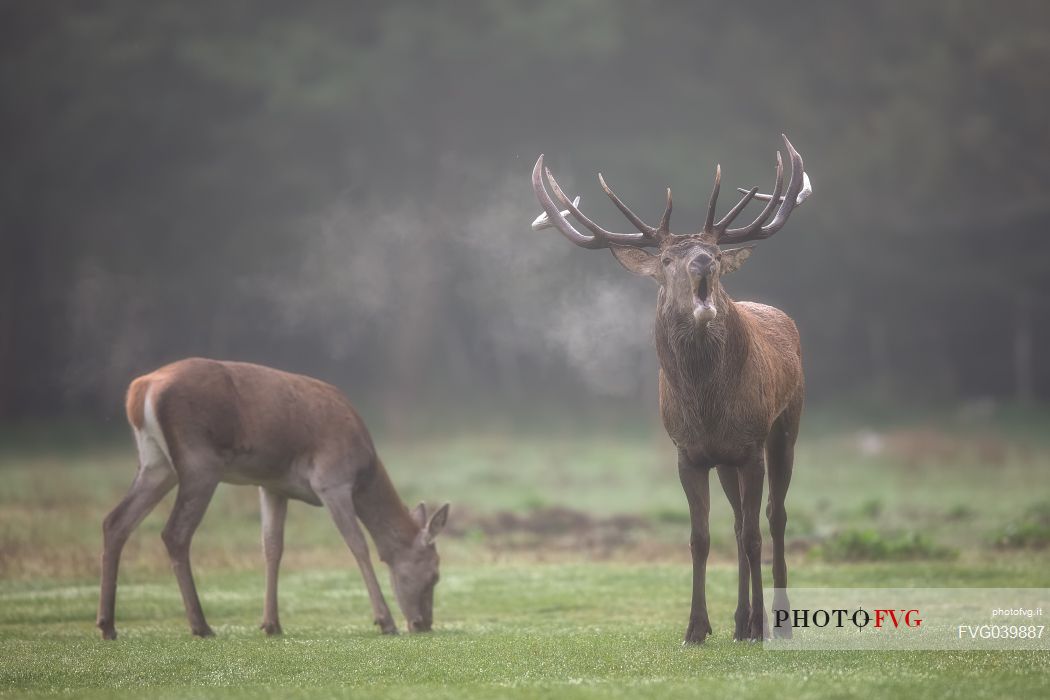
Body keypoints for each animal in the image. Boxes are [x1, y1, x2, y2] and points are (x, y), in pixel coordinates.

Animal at [93, 361, 447, 642]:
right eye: (435, 574)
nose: (423, 624)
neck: (364, 473)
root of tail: (141, 390)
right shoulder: (332, 480)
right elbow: (357, 544)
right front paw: (385, 621)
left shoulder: (273, 485)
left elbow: (272, 548)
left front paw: (271, 624)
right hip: (199, 462)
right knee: (175, 532)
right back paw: (200, 625)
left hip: (155, 463)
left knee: (115, 521)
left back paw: (108, 625)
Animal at [533, 134, 810, 642]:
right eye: (666, 259)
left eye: (715, 254)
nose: (702, 261)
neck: (707, 406)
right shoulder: (688, 451)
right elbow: (700, 538)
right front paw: (697, 628)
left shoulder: (750, 445)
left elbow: (754, 536)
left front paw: (757, 625)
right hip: (727, 461)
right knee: (738, 521)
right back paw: (739, 621)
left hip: (786, 427)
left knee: (773, 518)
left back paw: (773, 623)